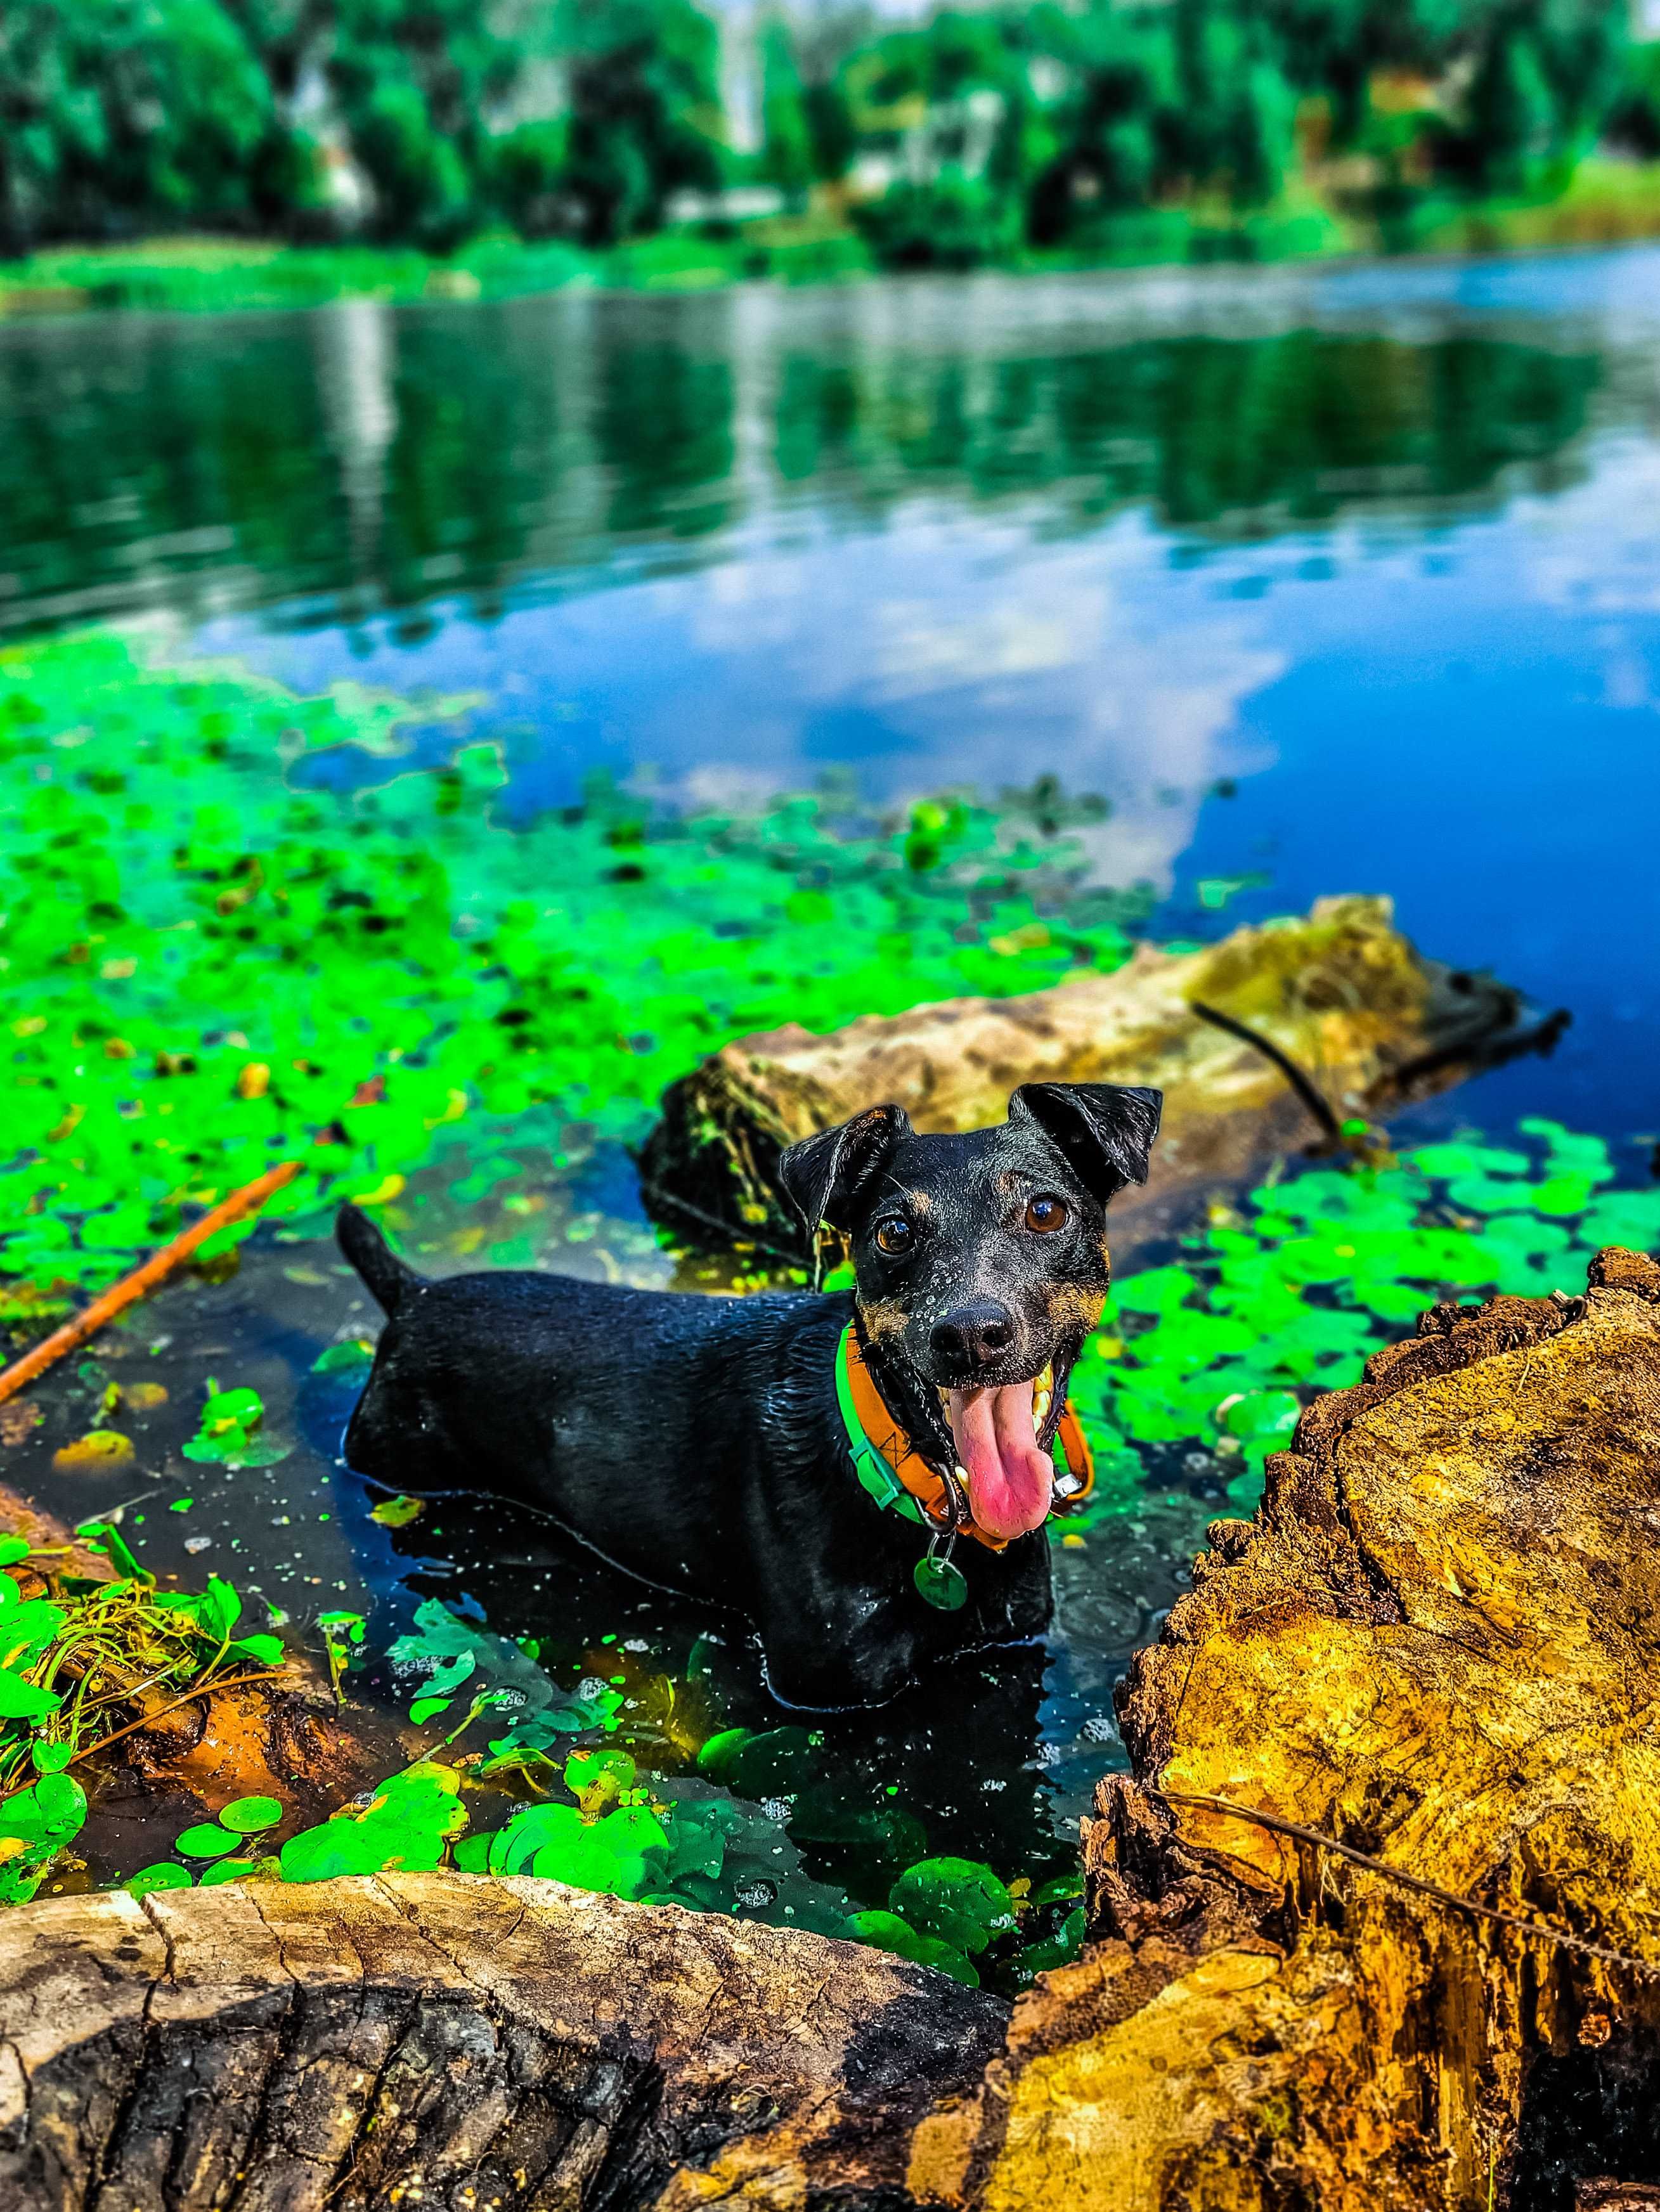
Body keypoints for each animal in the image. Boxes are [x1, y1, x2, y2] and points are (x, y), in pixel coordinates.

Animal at [339, 1079, 1160, 1698]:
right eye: (892, 1232)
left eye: (1045, 1211)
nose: (968, 1333)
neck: (920, 1500)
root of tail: (411, 1295)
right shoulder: (820, 1689)